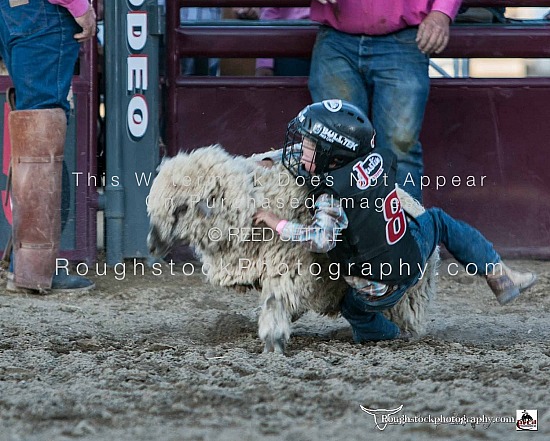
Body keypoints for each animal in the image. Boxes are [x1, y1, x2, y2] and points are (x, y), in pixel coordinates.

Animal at [147, 146, 440, 352]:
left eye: (182, 207)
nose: (151, 245)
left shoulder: (288, 267)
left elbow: (275, 300)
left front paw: (273, 342)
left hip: (404, 297)